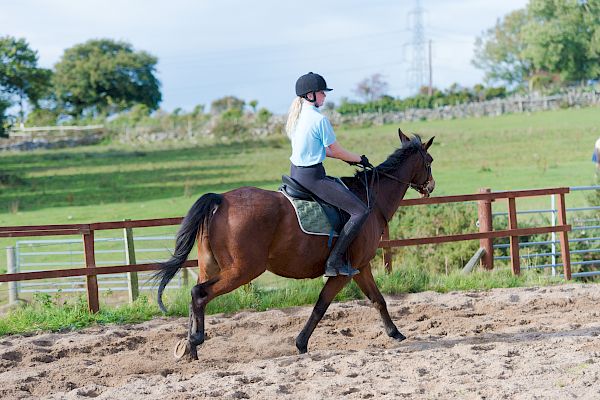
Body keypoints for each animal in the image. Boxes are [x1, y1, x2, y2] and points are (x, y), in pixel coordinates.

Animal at [157, 129, 434, 360]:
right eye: (429, 162)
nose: (431, 186)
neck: (370, 200)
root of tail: (221, 200)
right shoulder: (344, 272)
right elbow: (321, 305)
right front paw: (301, 343)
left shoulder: (361, 267)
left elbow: (378, 300)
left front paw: (395, 333)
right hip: (242, 270)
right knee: (199, 293)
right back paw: (195, 341)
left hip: (210, 266)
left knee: (195, 297)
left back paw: (189, 347)